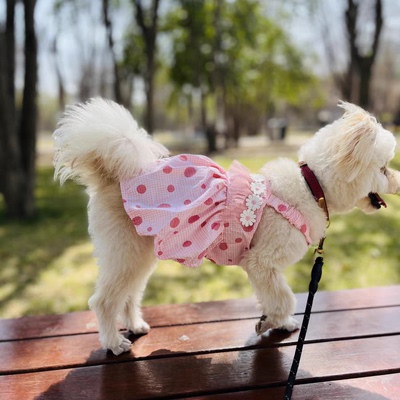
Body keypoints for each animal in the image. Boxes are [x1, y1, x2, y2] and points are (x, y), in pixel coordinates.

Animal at [54, 98, 400, 354]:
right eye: (383, 168)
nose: (398, 180)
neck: (311, 187)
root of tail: (113, 176)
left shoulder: (264, 270)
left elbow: (272, 296)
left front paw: (276, 321)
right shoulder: (261, 262)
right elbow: (284, 296)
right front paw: (273, 321)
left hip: (139, 255)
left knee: (129, 294)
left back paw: (135, 325)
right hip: (124, 252)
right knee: (103, 301)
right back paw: (114, 343)